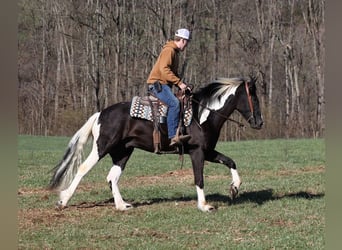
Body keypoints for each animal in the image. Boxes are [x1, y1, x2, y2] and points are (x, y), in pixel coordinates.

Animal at [48, 76, 264, 211]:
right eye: (253, 97)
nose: (259, 123)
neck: (201, 115)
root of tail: (101, 113)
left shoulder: (208, 151)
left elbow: (230, 161)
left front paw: (234, 188)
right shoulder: (197, 152)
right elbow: (199, 178)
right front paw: (204, 206)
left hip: (122, 152)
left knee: (112, 177)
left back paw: (122, 205)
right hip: (102, 147)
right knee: (83, 168)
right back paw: (63, 200)